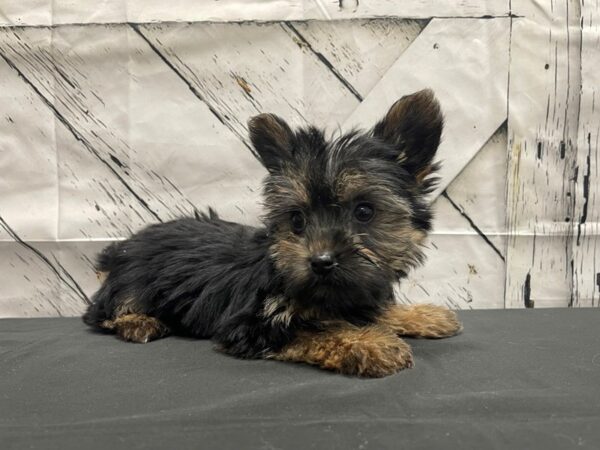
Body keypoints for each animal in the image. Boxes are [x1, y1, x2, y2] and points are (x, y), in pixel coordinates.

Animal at [83, 89, 460, 378]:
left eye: (364, 212)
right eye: (297, 220)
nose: (321, 261)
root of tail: (125, 247)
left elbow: (371, 309)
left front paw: (421, 315)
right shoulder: (252, 326)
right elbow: (316, 330)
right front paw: (371, 343)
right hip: (134, 281)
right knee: (101, 313)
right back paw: (138, 322)